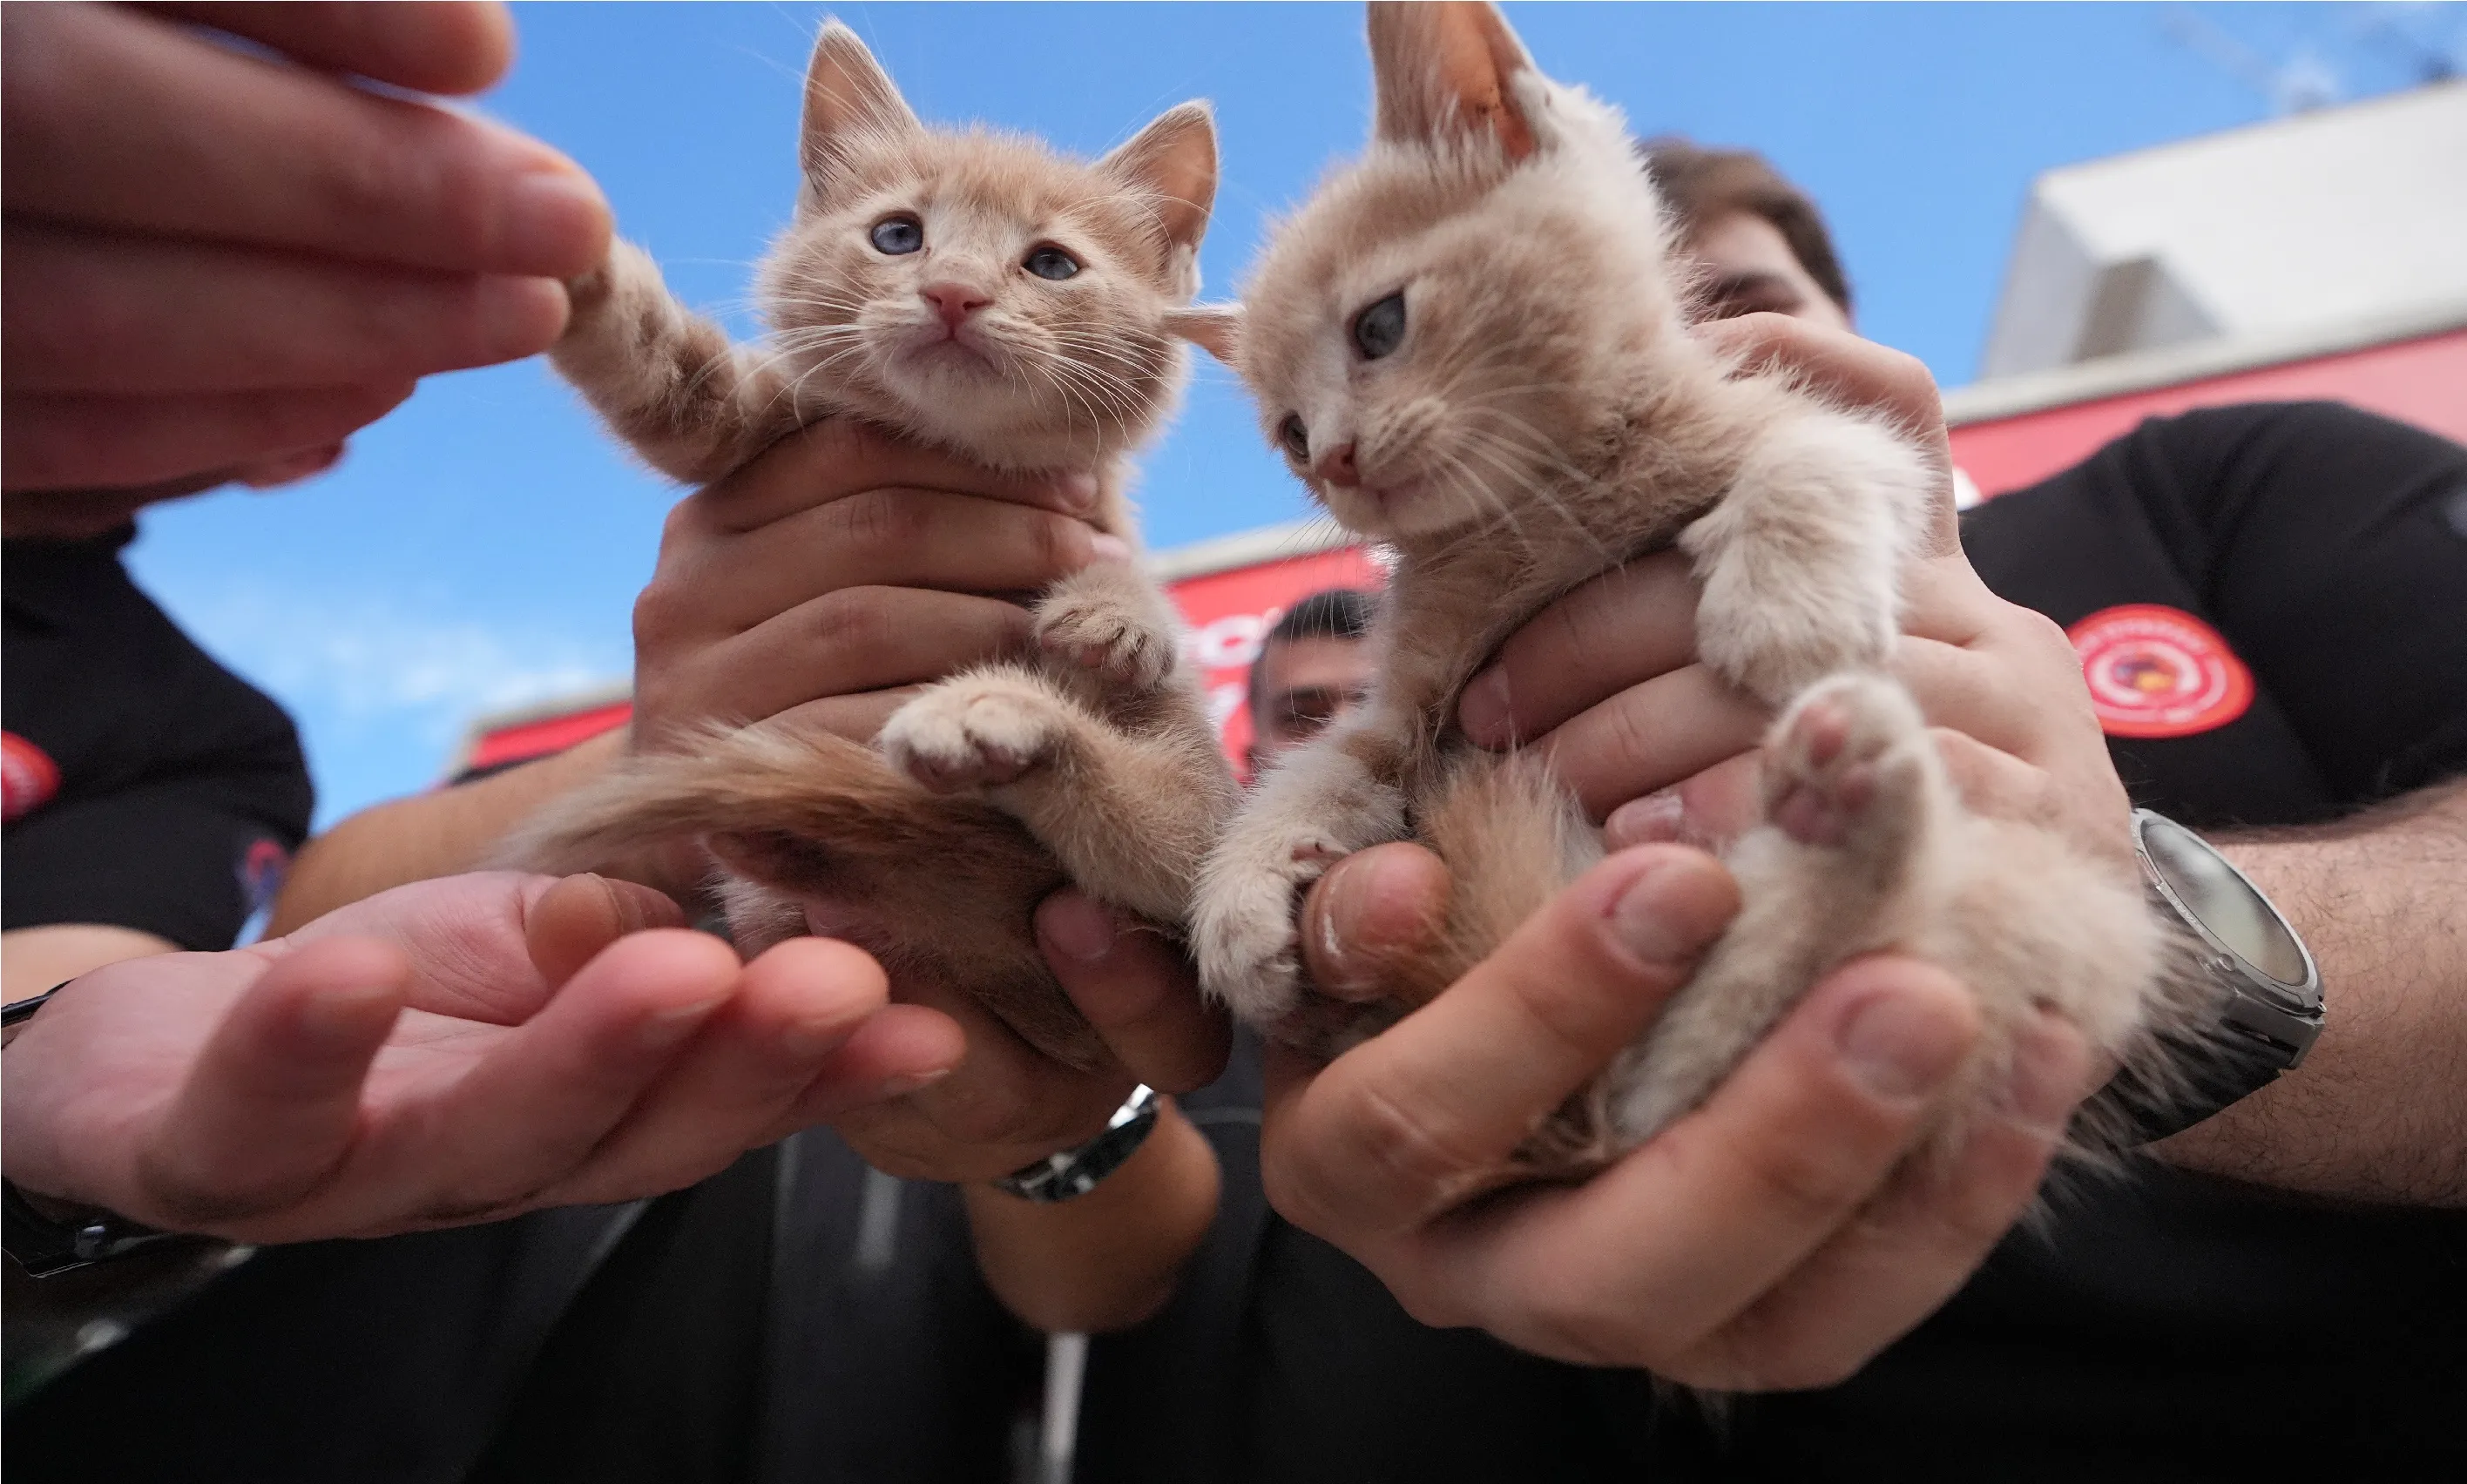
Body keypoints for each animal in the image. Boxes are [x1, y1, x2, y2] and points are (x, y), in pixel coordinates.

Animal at [503, 23, 1243, 1064]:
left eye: (1052, 264)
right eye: (898, 235)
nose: (954, 294)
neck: (953, 444)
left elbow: (1131, 592)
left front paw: (1117, 615)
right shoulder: (747, 427)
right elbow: (665, 376)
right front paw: (578, 262)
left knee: (1159, 833)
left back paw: (989, 720)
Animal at [1193, 5, 2180, 1173]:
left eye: (1379, 327)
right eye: (1290, 435)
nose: (1338, 462)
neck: (1535, 507)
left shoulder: (1840, 429)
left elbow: (1818, 452)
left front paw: (1790, 615)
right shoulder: (1406, 705)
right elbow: (1324, 764)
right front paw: (1242, 897)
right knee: (1667, 1085)